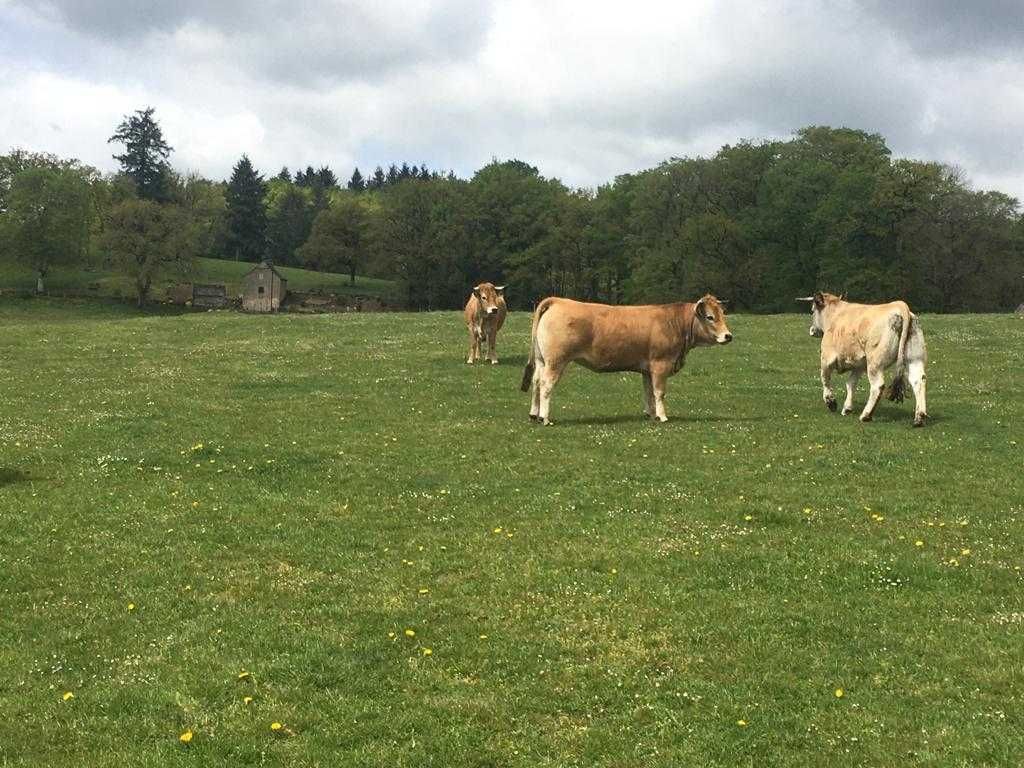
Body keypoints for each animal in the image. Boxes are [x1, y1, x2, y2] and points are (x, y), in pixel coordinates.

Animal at [524, 296, 733, 428]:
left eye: (723, 315)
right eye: (710, 317)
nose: (728, 336)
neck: (674, 323)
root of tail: (558, 300)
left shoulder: (648, 369)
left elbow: (648, 392)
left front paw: (651, 414)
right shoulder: (660, 365)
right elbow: (659, 392)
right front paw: (663, 416)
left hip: (542, 361)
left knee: (536, 382)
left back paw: (534, 414)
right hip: (556, 362)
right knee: (546, 385)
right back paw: (545, 418)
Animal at [794, 292, 933, 430]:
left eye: (812, 311)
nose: (812, 330)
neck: (835, 314)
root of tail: (899, 306)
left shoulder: (826, 358)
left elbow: (825, 380)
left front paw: (831, 402)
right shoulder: (859, 365)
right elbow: (851, 383)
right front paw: (847, 408)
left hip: (874, 363)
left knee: (877, 386)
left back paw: (866, 415)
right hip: (914, 358)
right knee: (918, 380)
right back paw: (919, 418)